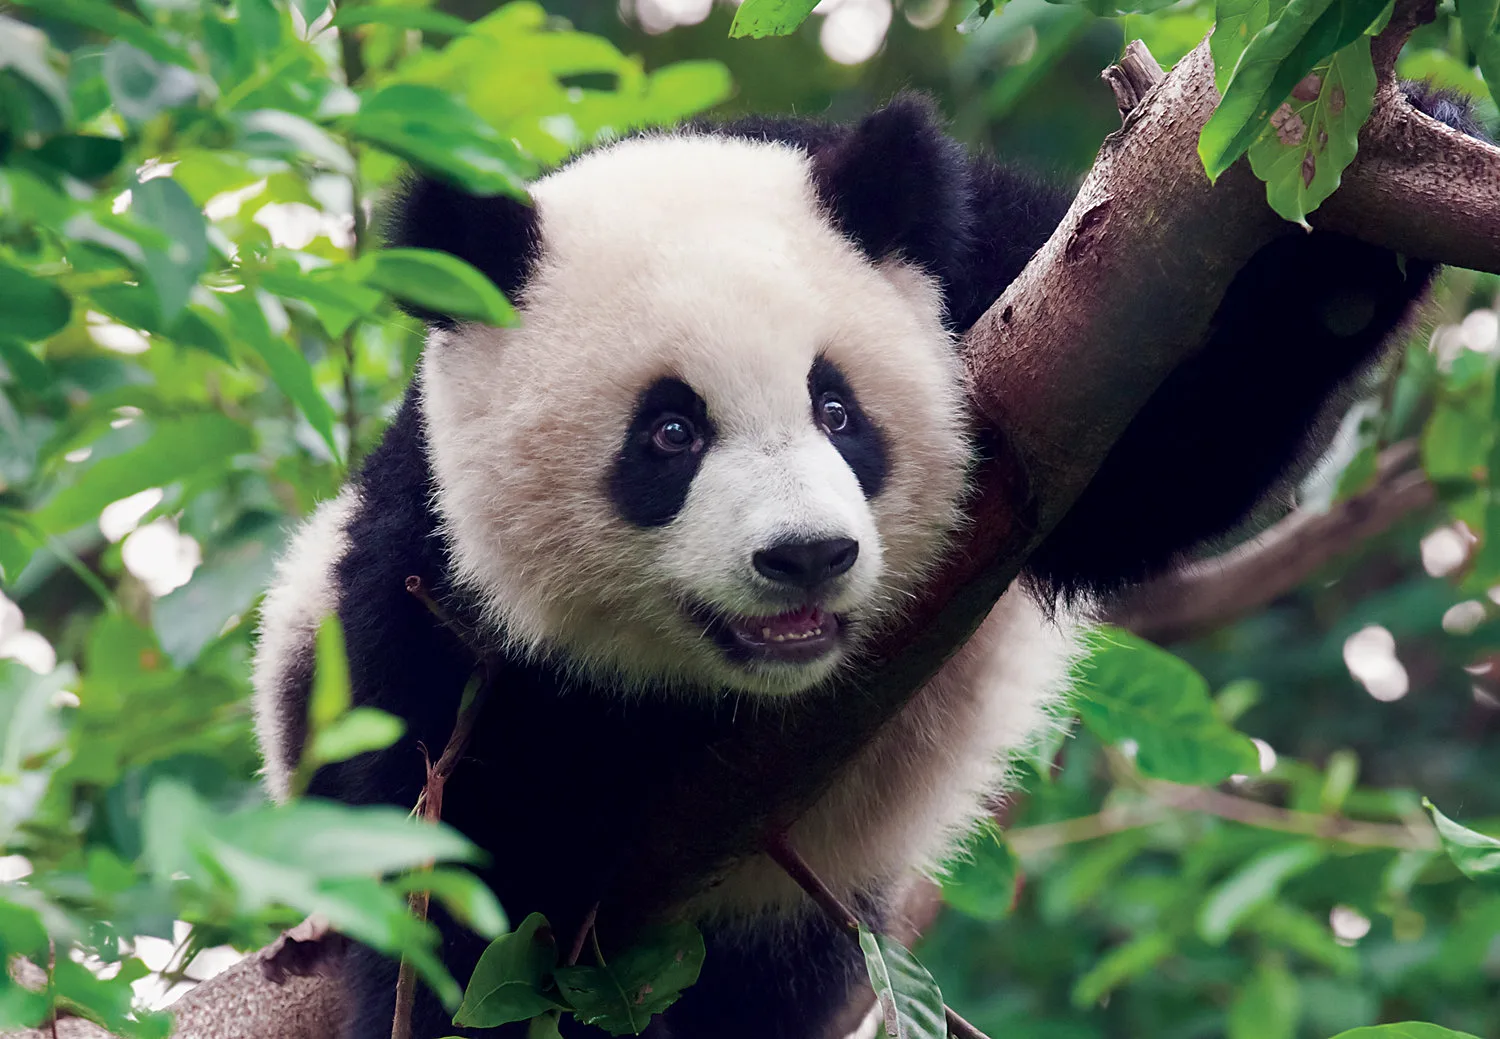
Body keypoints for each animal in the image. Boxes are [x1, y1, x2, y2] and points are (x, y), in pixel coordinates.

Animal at [252, 89, 1483, 1039]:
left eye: (837, 409)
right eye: (669, 434)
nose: (807, 555)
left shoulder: (1001, 280)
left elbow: (1163, 450)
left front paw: (1383, 192)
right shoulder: (427, 608)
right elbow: (461, 897)